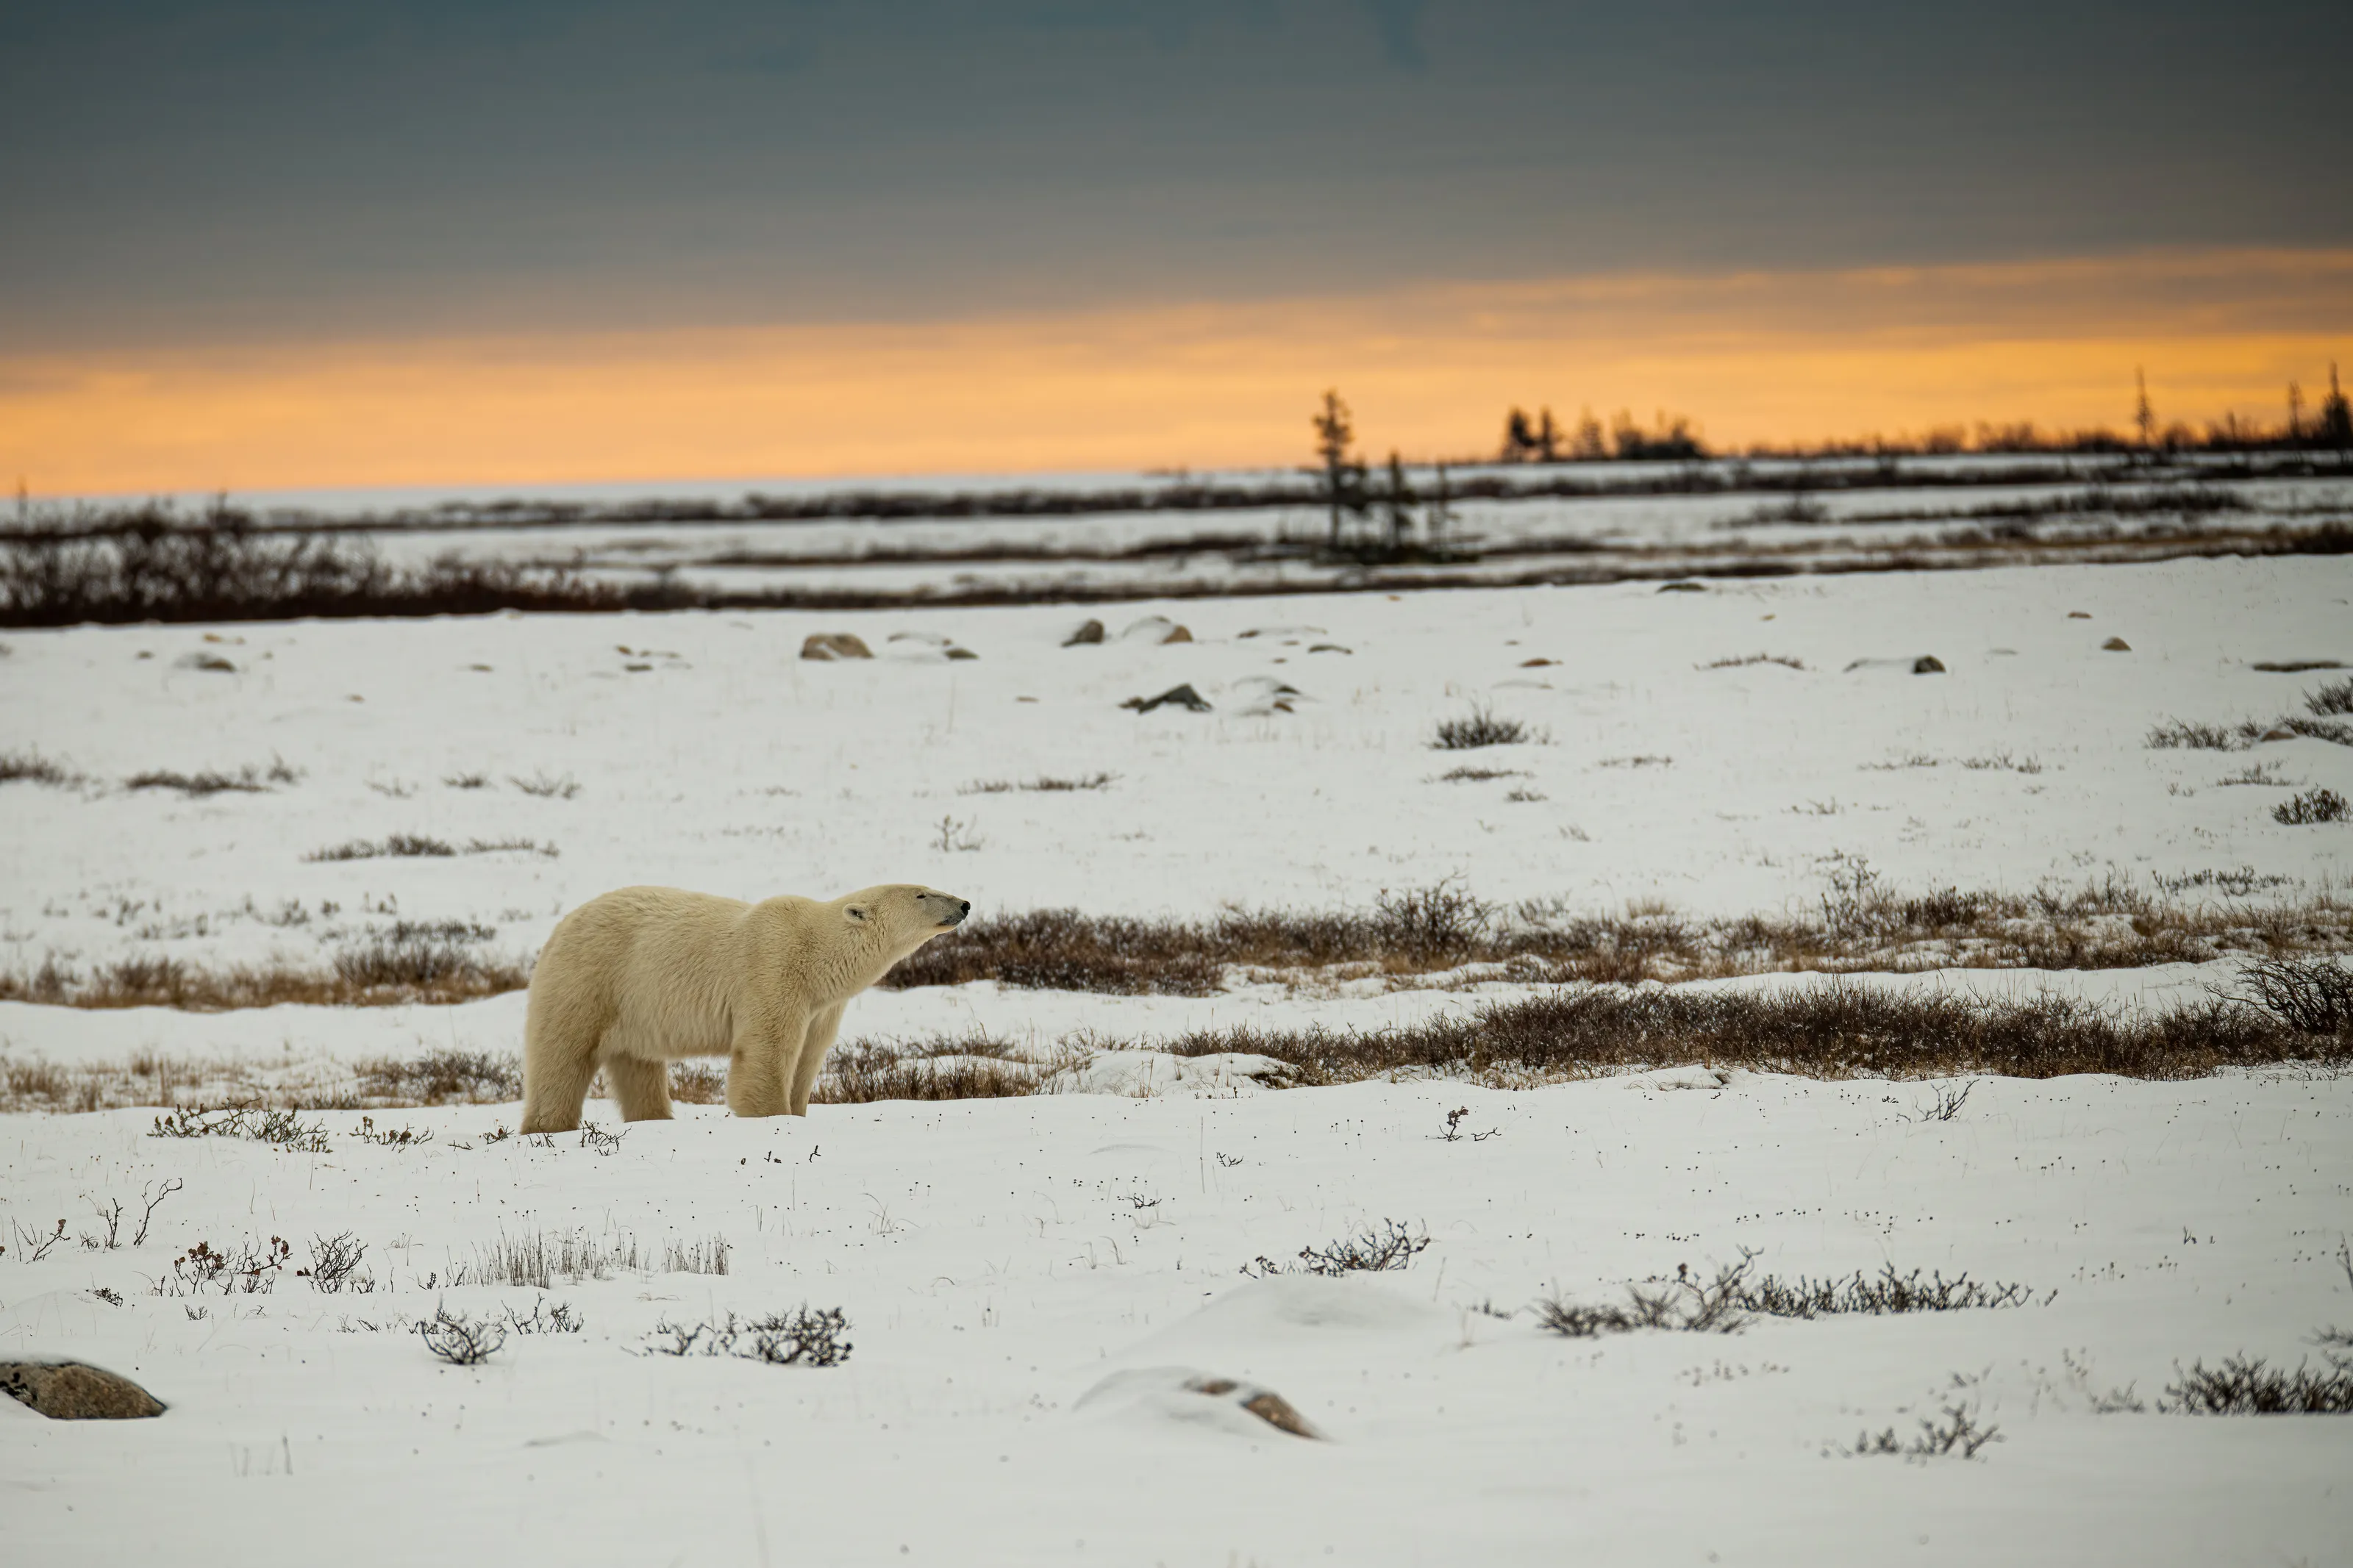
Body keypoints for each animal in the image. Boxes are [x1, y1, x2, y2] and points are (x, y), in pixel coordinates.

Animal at [519, 883, 970, 1132]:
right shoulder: (774, 970)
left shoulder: (821, 1007)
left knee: (638, 1067)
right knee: (563, 1056)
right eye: (921, 893)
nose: (964, 904)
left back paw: (655, 1119)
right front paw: (772, 1116)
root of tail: (559, 928)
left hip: (633, 1008)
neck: (815, 953)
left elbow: (808, 1057)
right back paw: (548, 1126)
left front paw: (798, 1111)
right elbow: (765, 1051)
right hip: (589, 981)